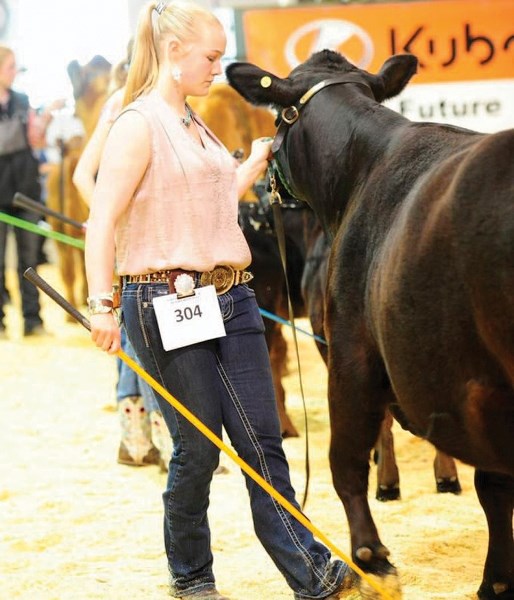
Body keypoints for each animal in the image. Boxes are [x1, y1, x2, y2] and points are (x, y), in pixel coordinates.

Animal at [228, 52, 512, 600]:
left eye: (274, 119)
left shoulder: (350, 351)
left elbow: (346, 459)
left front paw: (370, 557)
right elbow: (493, 486)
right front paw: (496, 580)